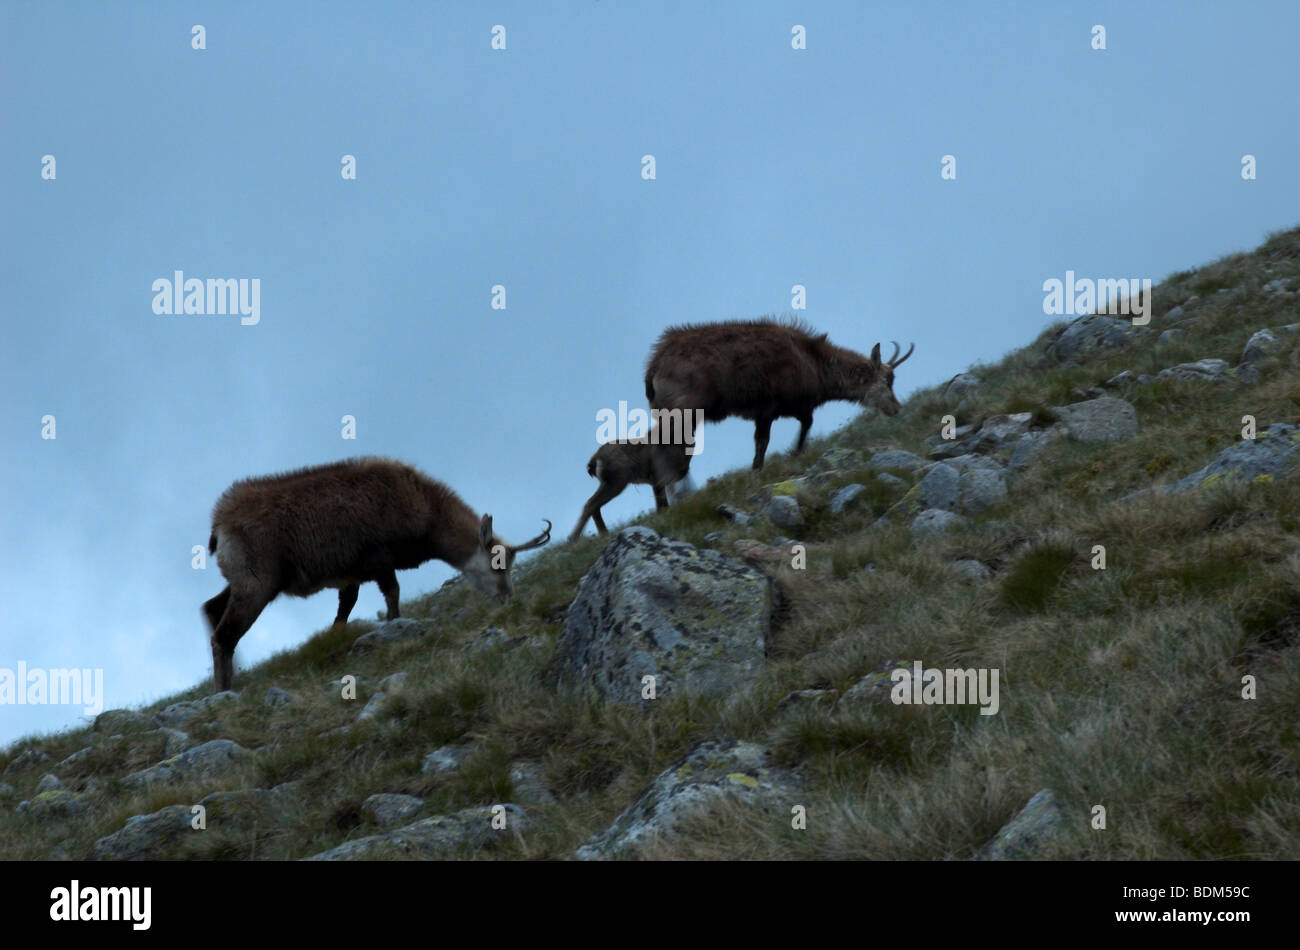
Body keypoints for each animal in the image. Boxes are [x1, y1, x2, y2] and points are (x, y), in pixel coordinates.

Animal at [201, 460, 548, 691]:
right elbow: (392, 593)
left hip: (245, 583)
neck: (424, 507)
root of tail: (220, 523)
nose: (508, 597)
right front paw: (396, 627)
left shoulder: (351, 573)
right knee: (223, 636)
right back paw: (224, 690)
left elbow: (345, 607)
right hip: (256, 584)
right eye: (498, 563)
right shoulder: (378, 558)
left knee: (211, 608)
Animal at [642, 317, 915, 470]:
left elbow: (806, 423)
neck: (812, 361)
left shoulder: (795, 407)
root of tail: (654, 365)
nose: (896, 408)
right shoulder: (767, 409)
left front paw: (794, 452)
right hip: (683, 411)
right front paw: (761, 466)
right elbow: (763, 442)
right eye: (888, 380)